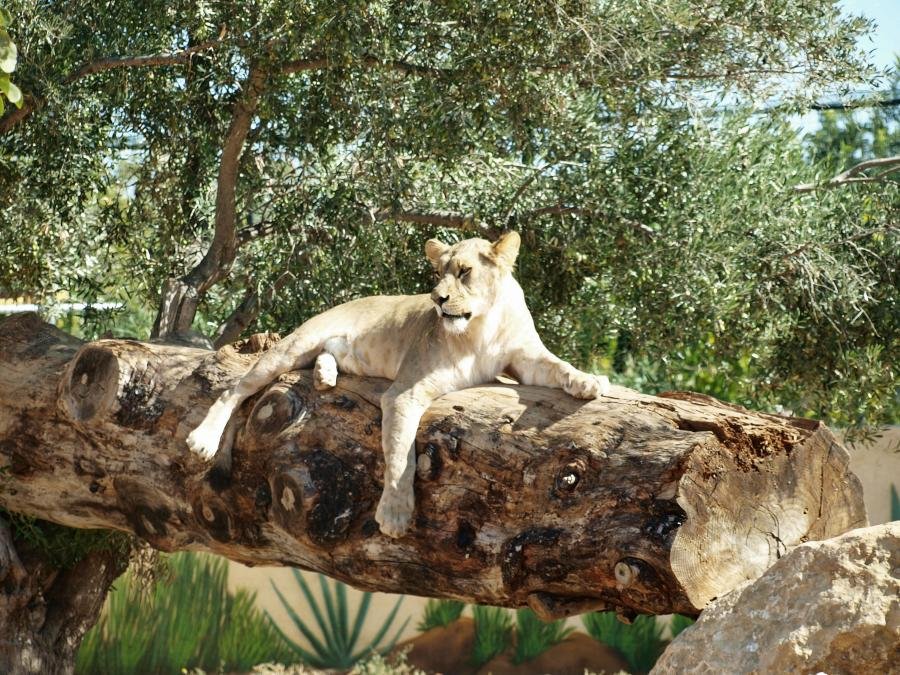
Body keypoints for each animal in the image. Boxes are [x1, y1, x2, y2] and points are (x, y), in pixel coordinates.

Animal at [186, 231, 609, 537]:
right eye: (438, 273)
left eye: (464, 271)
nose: (437, 299)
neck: (481, 326)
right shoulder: (406, 391)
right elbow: (401, 452)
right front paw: (394, 513)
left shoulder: (526, 358)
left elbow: (557, 366)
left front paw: (589, 381)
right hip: (292, 346)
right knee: (235, 390)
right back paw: (203, 439)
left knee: (326, 354)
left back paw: (326, 376)